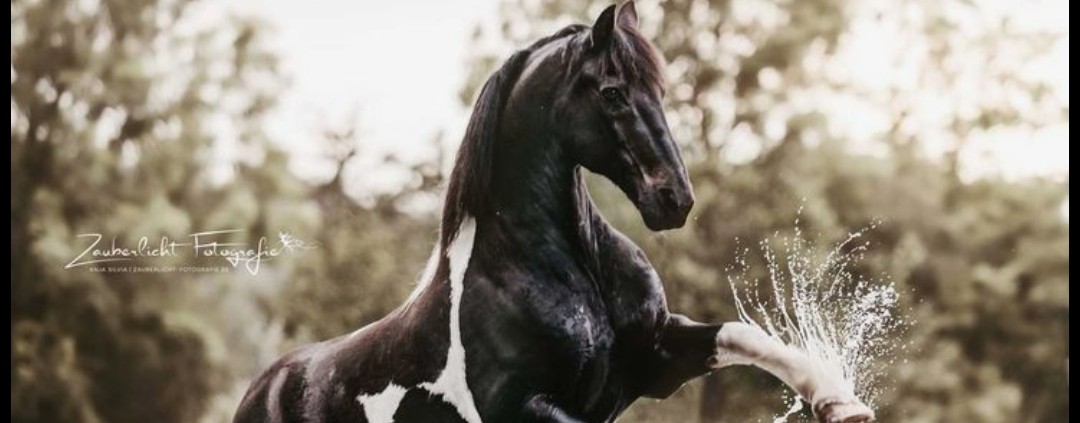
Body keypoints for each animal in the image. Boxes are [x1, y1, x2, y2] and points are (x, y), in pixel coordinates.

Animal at [233, 3, 874, 423]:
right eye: (613, 93)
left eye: (661, 92)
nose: (674, 199)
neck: (568, 269)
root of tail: (264, 386)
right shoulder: (525, 408)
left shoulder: (656, 358)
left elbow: (743, 336)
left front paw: (840, 403)